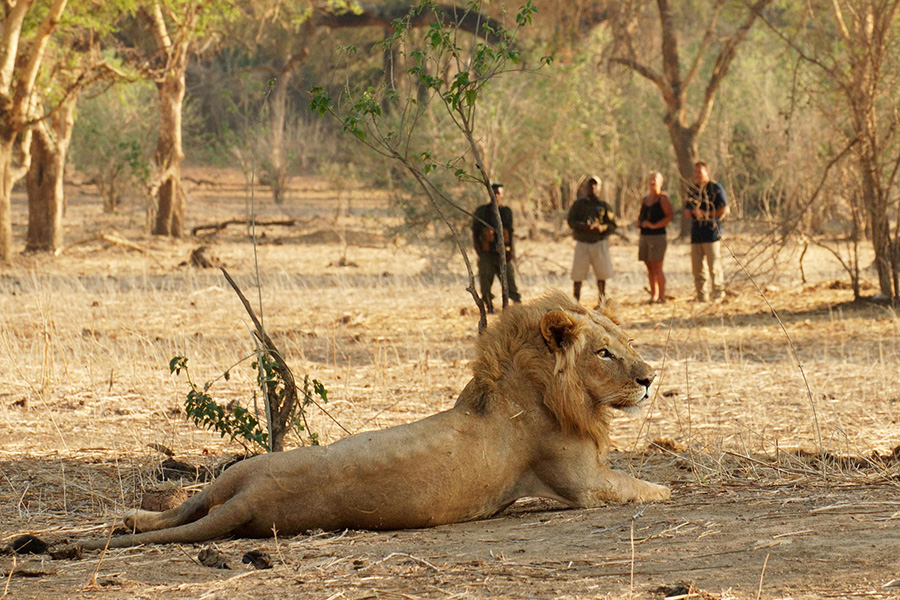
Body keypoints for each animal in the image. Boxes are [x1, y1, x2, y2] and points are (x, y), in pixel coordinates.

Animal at [79, 292, 668, 552]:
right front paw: (665, 489)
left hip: (232, 476)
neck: (543, 386)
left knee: (184, 508)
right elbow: (644, 486)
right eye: (605, 354)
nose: (650, 378)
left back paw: (131, 519)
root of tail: (252, 499)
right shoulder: (582, 482)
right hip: (243, 478)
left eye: (625, 343)